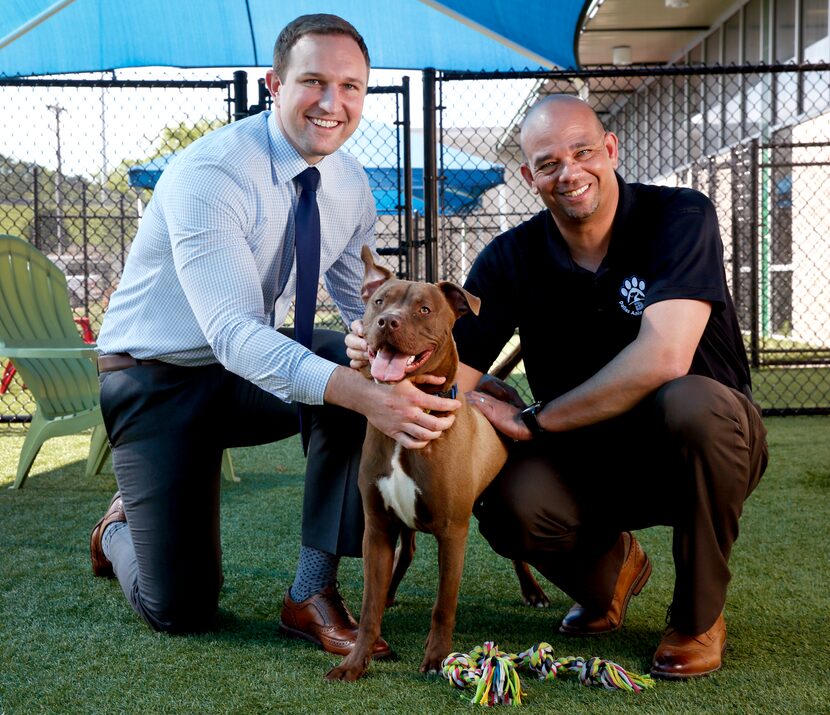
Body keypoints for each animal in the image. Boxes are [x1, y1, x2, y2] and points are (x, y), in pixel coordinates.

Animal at [328, 250, 548, 684]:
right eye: (379, 301)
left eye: (424, 309)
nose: (387, 322)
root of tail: (494, 383)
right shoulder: (377, 528)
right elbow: (368, 608)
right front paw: (354, 662)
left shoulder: (452, 531)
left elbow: (443, 605)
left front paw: (436, 660)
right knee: (407, 553)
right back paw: (391, 591)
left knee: (516, 553)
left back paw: (533, 591)